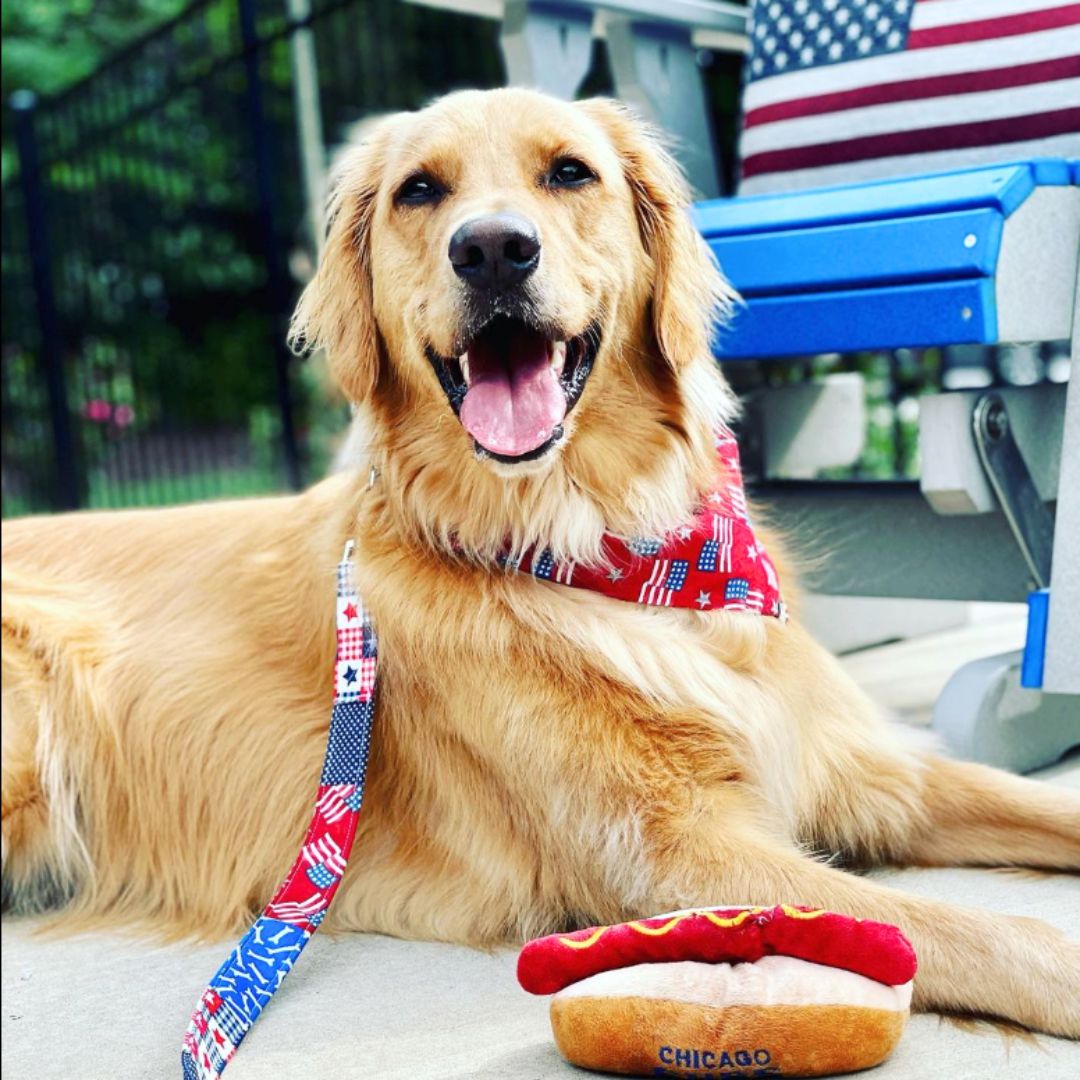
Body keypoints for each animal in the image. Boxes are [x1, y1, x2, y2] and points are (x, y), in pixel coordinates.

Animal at [2, 92, 1080, 1036]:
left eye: (570, 172)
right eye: (419, 191)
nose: (491, 249)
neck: (613, 554)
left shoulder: (864, 766)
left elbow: (1042, 804)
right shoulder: (675, 856)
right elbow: (966, 928)